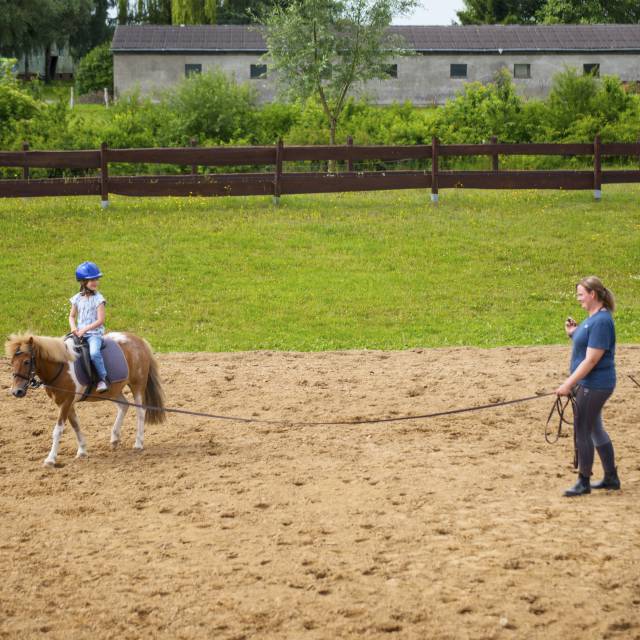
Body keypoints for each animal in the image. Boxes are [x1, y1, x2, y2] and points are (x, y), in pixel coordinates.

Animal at [5, 332, 165, 468]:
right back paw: (114, 438)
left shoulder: (66, 402)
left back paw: (138, 443)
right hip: (113, 390)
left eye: (26, 362)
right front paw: (82, 451)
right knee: (124, 406)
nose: (16, 391)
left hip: (137, 385)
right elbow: (75, 425)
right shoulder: (65, 403)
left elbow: (58, 430)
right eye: (12, 361)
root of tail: (138, 340)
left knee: (140, 412)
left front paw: (50, 459)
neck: (61, 366)